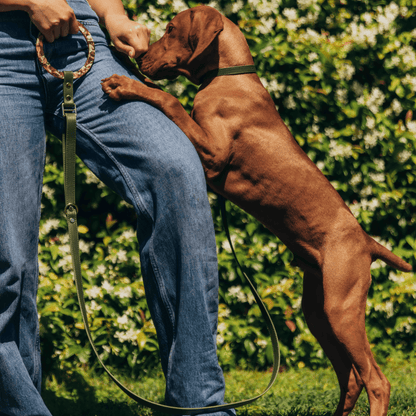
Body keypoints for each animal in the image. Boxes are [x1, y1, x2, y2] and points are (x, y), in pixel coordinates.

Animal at [101, 4, 412, 414]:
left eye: (169, 28)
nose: (138, 58)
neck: (228, 77)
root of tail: (366, 241)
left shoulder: (214, 156)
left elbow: (169, 100)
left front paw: (127, 85)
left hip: (343, 308)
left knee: (376, 380)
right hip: (319, 312)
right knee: (351, 377)